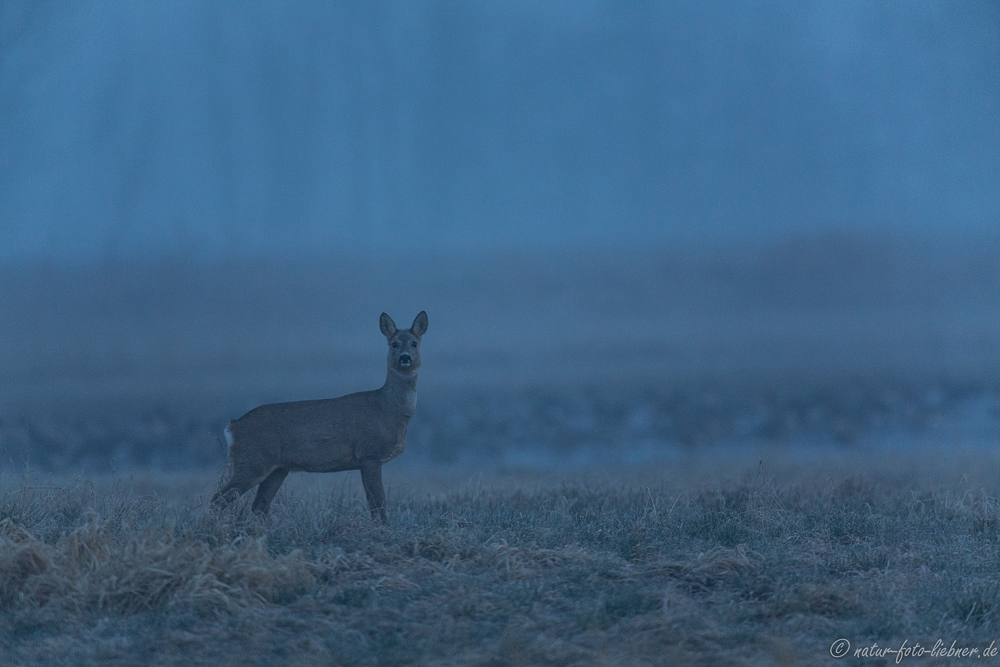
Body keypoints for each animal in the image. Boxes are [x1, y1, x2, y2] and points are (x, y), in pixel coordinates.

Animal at [213, 310, 424, 524]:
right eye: (394, 343)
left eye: (415, 343)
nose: (405, 357)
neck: (388, 408)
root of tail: (233, 426)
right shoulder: (369, 454)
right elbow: (379, 502)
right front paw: (383, 527)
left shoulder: (365, 460)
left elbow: (374, 504)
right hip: (252, 459)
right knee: (219, 498)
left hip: (277, 468)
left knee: (259, 505)